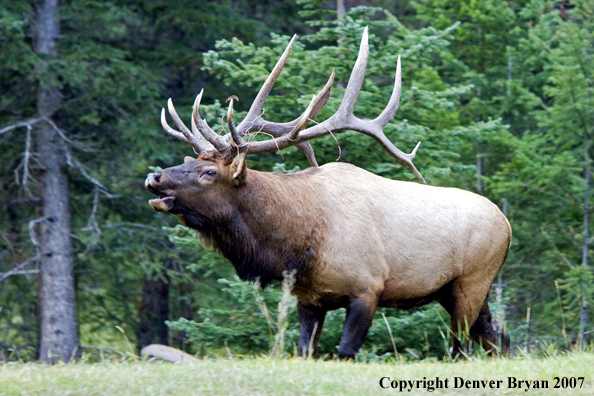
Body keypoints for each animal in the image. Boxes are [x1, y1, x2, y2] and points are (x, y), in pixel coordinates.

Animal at [145, 27, 508, 358]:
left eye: (209, 172)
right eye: (188, 160)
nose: (154, 176)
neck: (296, 243)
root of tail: (507, 225)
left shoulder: (368, 287)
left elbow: (345, 351)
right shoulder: (308, 298)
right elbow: (305, 351)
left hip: (473, 281)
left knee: (461, 346)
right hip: (455, 291)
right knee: (497, 339)